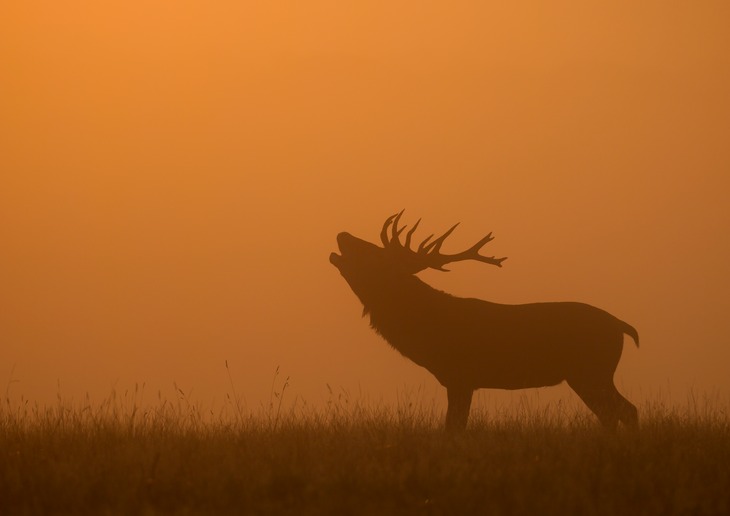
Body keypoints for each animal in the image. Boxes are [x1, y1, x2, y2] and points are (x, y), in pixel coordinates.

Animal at [330, 211, 636, 432]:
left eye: (375, 255)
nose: (342, 234)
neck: (428, 329)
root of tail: (622, 326)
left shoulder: (461, 376)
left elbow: (453, 428)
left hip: (592, 371)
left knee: (624, 412)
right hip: (591, 375)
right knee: (619, 413)